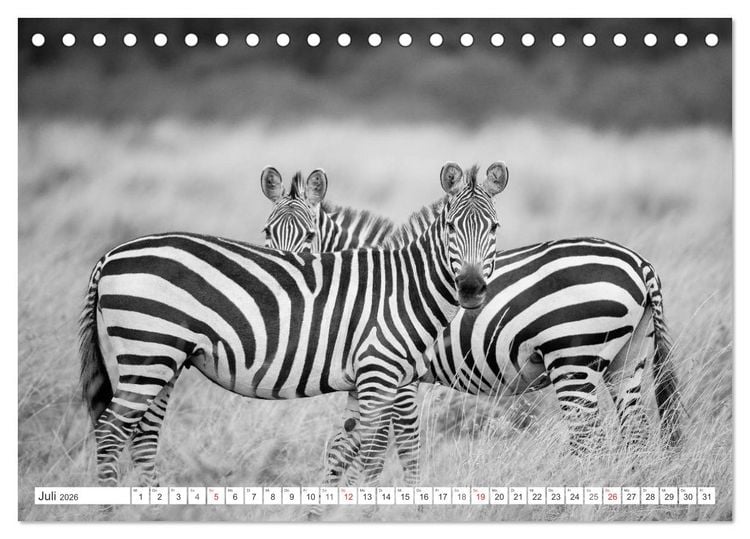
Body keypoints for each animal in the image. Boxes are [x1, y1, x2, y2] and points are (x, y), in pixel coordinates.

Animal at [78, 161, 508, 487]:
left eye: (494, 228)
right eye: (451, 228)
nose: (471, 289)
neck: (405, 287)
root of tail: (111, 254)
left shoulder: (373, 382)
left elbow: (346, 449)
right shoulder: (382, 376)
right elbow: (379, 452)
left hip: (161, 361)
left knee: (143, 437)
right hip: (148, 353)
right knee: (111, 432)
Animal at [259, 169, 682, 495]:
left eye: (310, 236)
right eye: (267, 232)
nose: (282, 277)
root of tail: (639, 262)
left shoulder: (399, 378)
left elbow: (390, 448)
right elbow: (362, 447)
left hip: (572, 361)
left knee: (590, 441)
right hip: (628, 360)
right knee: (636, 436)